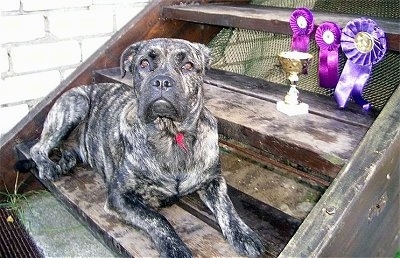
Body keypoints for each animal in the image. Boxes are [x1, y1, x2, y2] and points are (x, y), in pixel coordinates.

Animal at [28, 38, 266, 258]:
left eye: (188, 65)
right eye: (143, 63)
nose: (162, 81)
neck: (171, 136)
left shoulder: (213, 180)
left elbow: (227, 207)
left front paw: (244, 234)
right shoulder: (119, 196)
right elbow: (157, 218)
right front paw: (175, 248)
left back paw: (66, 161)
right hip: (76, 105)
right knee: (37, 148)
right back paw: (48, 166)